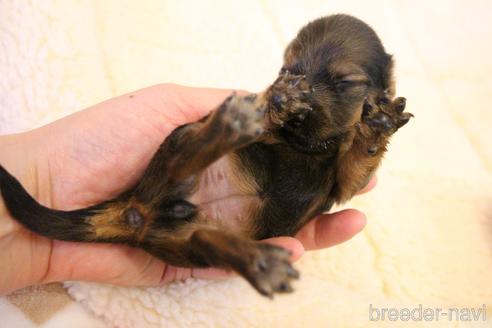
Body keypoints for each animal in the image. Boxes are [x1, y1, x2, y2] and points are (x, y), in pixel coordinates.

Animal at [0, 14, 412, 298]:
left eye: (345, 82)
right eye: (286, 69)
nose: (283, 96)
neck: (305, 144)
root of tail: (137, 208)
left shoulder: (344, 183)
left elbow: (358, 162)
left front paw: (377, 126)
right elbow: (268, 119)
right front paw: (272, 104)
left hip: (191, 245)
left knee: (211, 241)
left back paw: (260, 263)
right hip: (177, 143)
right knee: (183, 157)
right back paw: (228, 129)